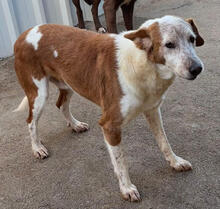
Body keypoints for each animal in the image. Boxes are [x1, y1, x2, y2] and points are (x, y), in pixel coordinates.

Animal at [12, 15, 204, 202]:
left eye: (192, 39)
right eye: (169, 44)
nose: (197, 68)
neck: (144, 63)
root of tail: (24, 34)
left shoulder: (153, 110)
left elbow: (164, 141)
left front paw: (175, 162)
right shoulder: (109, 125)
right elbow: (121, 162)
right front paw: (127, 188)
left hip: (68, 83)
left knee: (61, 105)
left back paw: (75, 125)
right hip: (39, 93)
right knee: (31, 121)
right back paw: (37, 148)